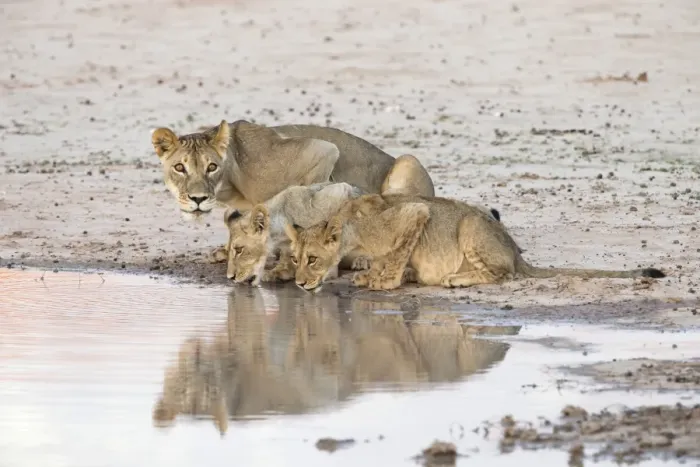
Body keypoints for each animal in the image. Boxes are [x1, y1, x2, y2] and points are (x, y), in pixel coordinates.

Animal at [284, 194, 667, 292]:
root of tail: (514, 248)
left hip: (470, 225)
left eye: (312, 259)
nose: (300, 283)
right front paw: (370, 274)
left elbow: (396, 255)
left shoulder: (414, 212)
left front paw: (384, 281)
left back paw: (455, 279)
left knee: (502, 274)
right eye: (294, 259)